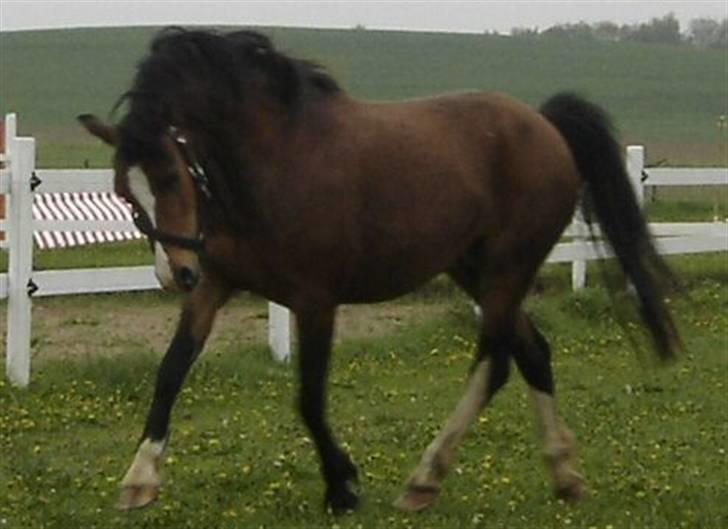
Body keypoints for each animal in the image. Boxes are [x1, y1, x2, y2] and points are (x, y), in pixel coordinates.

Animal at [77, 26, 680, 512]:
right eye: (124, 192)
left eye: (172, 177)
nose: (175, 274)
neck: (275, 161)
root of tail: (546, 126)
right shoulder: (218, 284)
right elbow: (171, 370)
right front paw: (139, 479)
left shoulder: (314, 300)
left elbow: (309, 398)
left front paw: (341, 486)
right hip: (473, 269)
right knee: (533, 354)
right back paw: (563, 474)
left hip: (508, 269)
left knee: (495, 361)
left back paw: (424, 479)